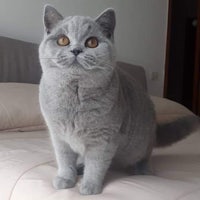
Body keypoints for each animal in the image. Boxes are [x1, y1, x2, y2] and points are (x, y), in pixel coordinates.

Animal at [38, 5, 199, 195]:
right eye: (63, 40)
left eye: (92, 42)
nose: (76, 50)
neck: (74, 99)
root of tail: (155, 128)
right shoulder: (59, 137)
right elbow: (64, 161)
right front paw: (65, 179)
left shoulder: (104, 139)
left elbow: (96, 165)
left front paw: (90, 187)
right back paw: (80, 167)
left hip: (142, 143)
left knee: (145, 156)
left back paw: (143, 170)